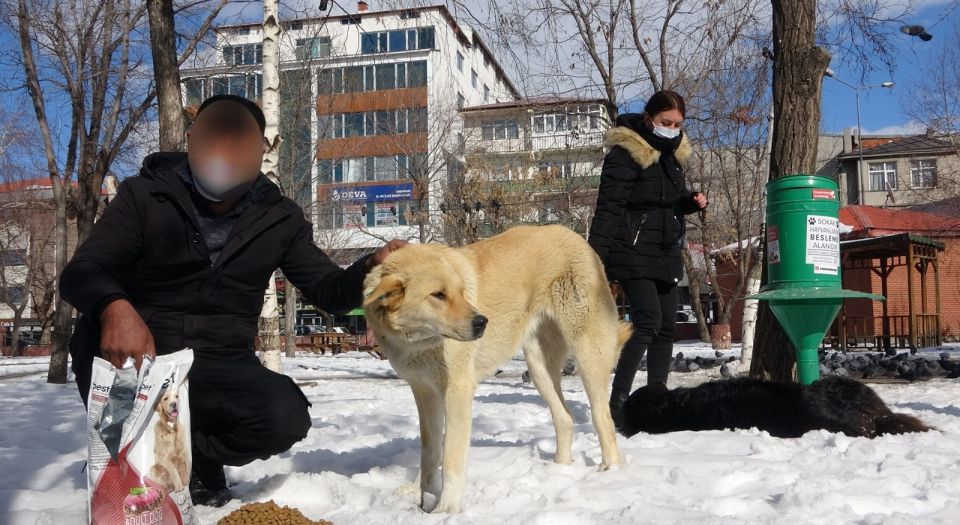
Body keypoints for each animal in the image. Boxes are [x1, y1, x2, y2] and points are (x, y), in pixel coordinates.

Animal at [364, 224, 632, 512]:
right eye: (438, 295)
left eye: (462, 291)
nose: (482, 322)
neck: (417, 342)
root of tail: (574, 236)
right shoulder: (424, 392)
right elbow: (430, 451)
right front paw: (421, 493)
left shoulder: (457, 391)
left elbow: (451, 456)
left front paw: (446, 508)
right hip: (539, 367)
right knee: (565, 417)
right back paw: (559, 470)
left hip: (587, 355)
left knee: (602, 417)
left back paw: (610, 470)